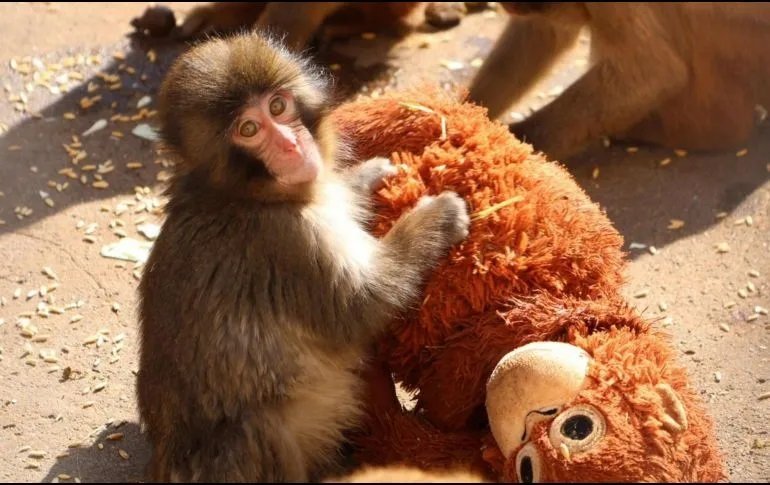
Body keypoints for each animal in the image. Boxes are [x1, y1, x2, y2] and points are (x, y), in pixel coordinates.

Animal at [135, 31, 470, 482]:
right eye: (249, 129)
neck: (246, 195)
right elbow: (362, 305)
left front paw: (365, 177)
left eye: (278, 106)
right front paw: (436, 218)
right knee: (257, 427)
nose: (291, 144)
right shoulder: (288, 242)